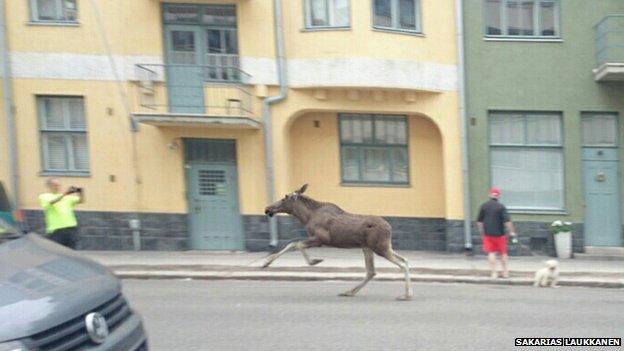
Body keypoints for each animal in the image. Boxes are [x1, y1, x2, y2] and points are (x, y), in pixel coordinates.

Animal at [264, 183, 414, 302]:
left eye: (284, 197)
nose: (267, 209)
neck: (306, 217)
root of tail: (390, 227)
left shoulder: (321, 239)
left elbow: (296, 244)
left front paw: (314, 261)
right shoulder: (316, 239)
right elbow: (292, 244)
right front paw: (266, 262)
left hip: (379, 247)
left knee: (400, 265)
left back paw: (406, 295)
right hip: (373, 247)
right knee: (383, 267)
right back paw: (349, 292)